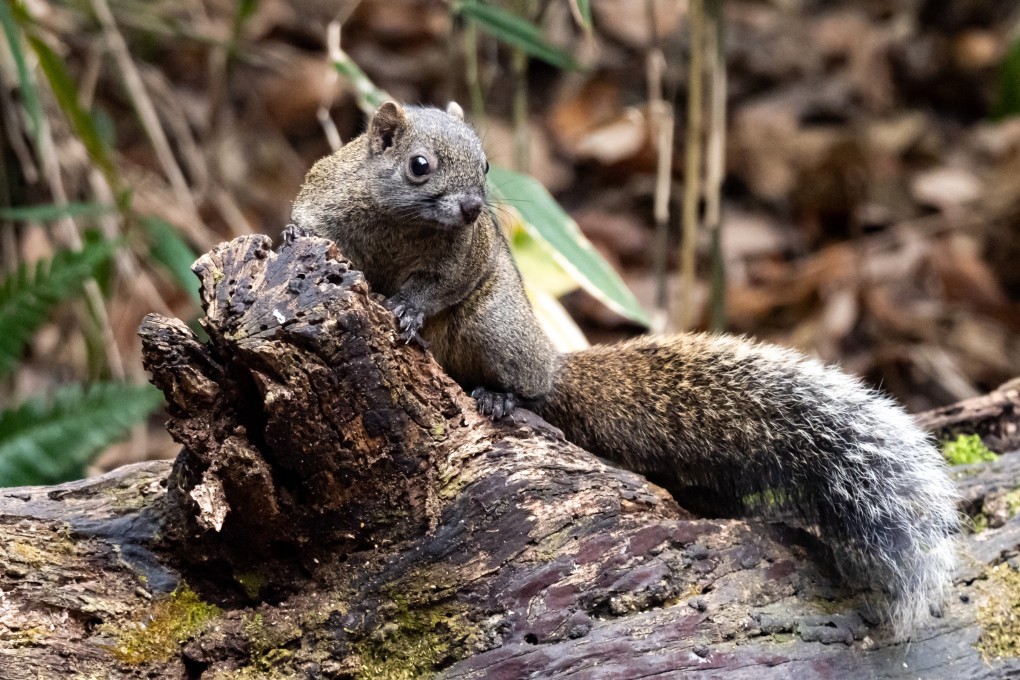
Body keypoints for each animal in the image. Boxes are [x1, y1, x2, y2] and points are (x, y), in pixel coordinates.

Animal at [290, 100, 959, 638]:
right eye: (419, 165)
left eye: (485, 166)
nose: (476, 207)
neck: (401, 225)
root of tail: (550, 357)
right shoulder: (326, 198)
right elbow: (309, 227)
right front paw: (292, 245)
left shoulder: (465, 256)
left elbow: (438, 285)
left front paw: (407, 307)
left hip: (497, 328)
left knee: (533, 387)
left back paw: (504, 398)